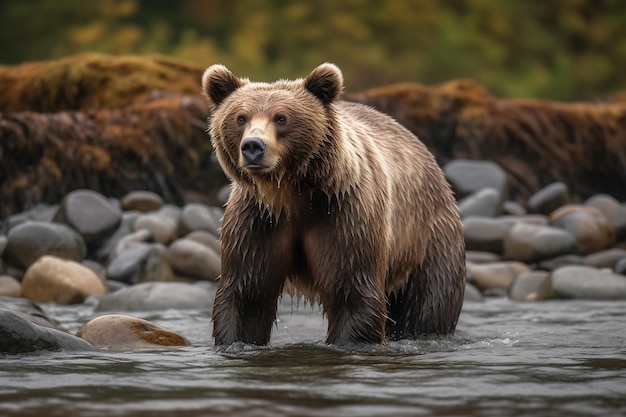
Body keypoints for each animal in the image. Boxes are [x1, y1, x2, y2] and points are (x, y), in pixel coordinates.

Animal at [200, 63, 464, 346]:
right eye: (241, 117)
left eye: (281, 118)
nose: (253, 146)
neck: (290, 193)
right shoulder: (257, 220)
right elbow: (247, 294)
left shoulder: (344, 215)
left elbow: (351, 291)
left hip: (427, 241)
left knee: (429, 305)